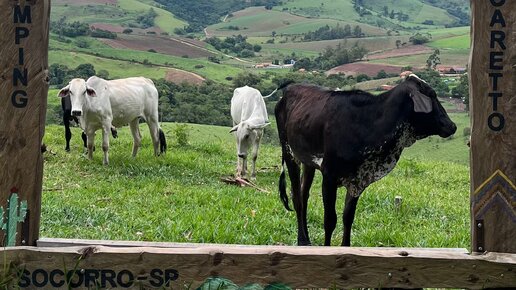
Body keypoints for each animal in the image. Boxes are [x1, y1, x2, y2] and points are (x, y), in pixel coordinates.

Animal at [276, 75, 458, 247]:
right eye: (431, 95)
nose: (452, 126)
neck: (368, 122)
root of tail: (290, 88)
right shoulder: (329, 177)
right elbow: (330, 220)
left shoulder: (358, 180)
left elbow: (348, 217)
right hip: (289, 152)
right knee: (297, 198)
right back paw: (302, 240)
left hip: (308, 162)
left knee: (303, 194)